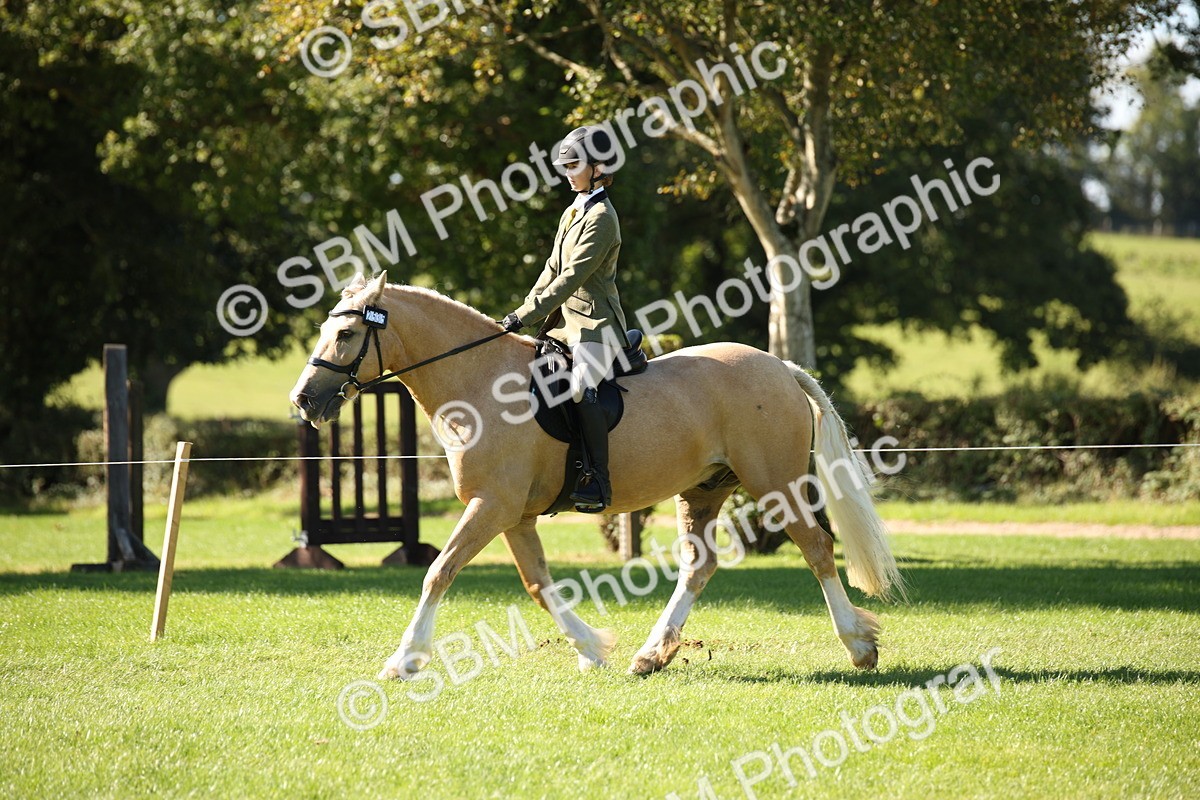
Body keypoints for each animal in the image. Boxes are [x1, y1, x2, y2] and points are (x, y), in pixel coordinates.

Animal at [289, 271, 905, 679]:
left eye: (345, 336)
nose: (303, 400)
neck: (479, 381)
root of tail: (777, 365)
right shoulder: (513, 516)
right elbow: (539, 586)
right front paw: (591, 648)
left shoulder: (490, 506)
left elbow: (437, 573)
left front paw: (404, 660)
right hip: (704, 491)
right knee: (699, 567)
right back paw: (650, 655)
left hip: (775, 485)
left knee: (817, 549)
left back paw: (858, 647)